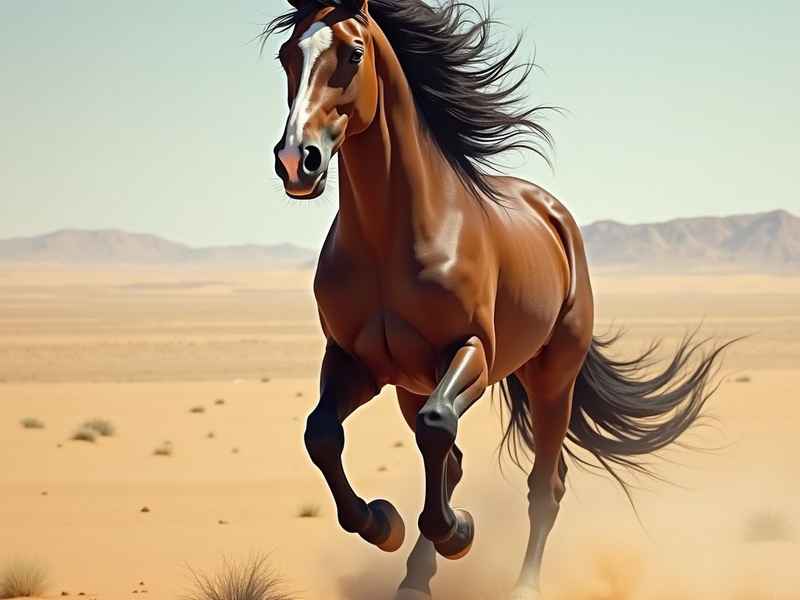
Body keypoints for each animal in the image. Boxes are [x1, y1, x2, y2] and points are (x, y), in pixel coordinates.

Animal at [265, 1, 728, 598]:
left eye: (353, 53)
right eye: (286, 55)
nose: (296, 160)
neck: (392, 235)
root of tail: (555, 217)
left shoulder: (473, 353)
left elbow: (439, 425)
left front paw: (458, 532)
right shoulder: (355, 361)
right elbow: (322, 434)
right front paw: (383, 523)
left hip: (552, 378)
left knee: (543, 483)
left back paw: (521, 584)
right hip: (411, 385)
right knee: (452, 460)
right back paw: (415, 578)